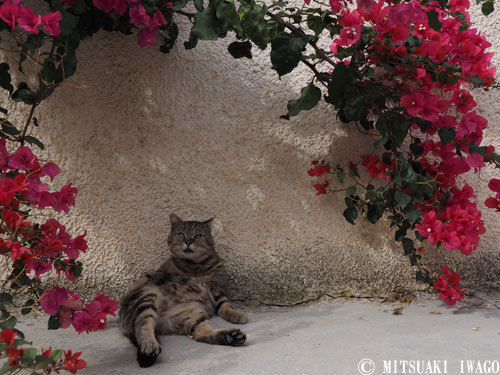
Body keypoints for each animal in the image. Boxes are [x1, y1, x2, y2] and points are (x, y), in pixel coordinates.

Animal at [119, 214, 248, 368]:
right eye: (181, 234)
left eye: (198, 236)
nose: (188, 242)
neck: (195, 266)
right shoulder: (156, 277)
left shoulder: (218, 290)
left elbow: (226, 305)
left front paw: (236, 314)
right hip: (147, 297)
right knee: (142, 324)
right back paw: (149, 346)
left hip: (192, 316)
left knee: (200, 334)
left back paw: (231, 337)